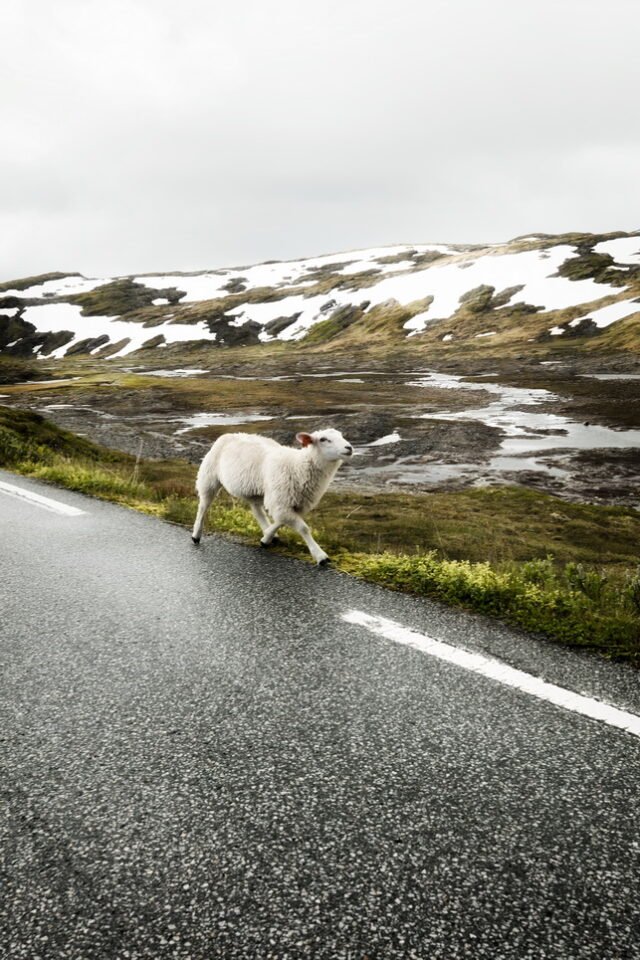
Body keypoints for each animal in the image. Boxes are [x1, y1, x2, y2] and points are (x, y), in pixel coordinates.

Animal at [191, 428, 353, 564]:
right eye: (323, 439)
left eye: (341, 435)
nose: (349, 448)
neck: (298, 466)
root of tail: (231, 433)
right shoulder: (280, 501)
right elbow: (303, 528)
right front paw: (320, 556)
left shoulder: (294, 502)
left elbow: (280, 520)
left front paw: (267, 537)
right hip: (209, 478)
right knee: (203, 505)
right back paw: (196, 535)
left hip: (254, 489)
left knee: (257, 510)